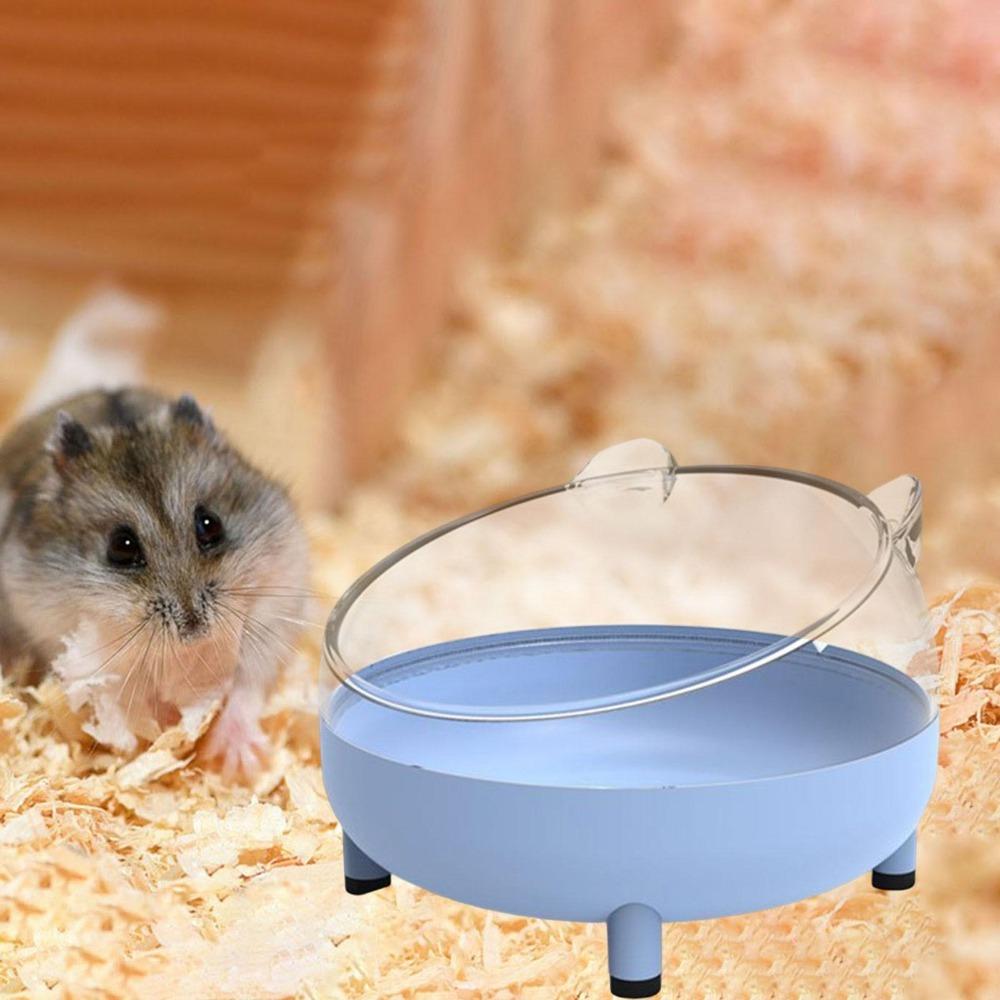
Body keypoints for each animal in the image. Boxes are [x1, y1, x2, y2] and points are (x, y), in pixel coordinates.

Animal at [0, 388, 309, 776]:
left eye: (210, 524)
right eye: (121, 546)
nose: (194, 628)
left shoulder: (273, 613)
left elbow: (246, 686)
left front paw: (241, 764)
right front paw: (167, 725)